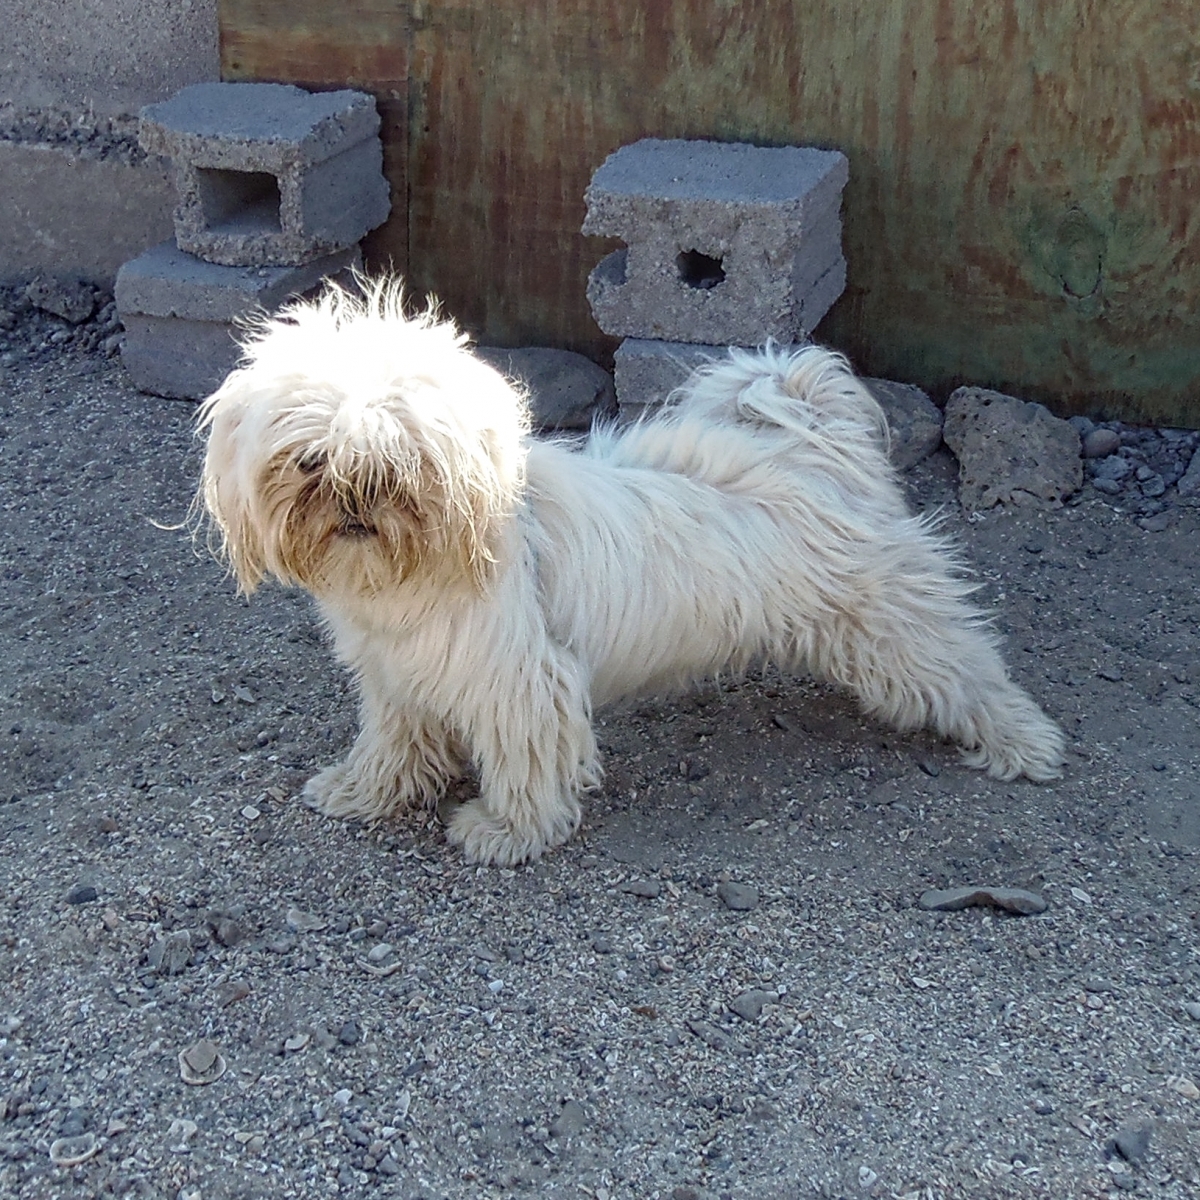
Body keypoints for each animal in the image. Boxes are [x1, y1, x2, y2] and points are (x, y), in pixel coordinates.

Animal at [199, 280, 1070, 864]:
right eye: (310, 461)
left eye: (397, 464)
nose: (355, 503)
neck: (418, 569)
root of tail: (820, 446)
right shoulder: (399, 676)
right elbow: (394, 743)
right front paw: (365, 792)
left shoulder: (520, 680)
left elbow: (525, 759)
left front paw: (507, 831)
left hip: (889, 631)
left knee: (967, 671)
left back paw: (1024, 742)